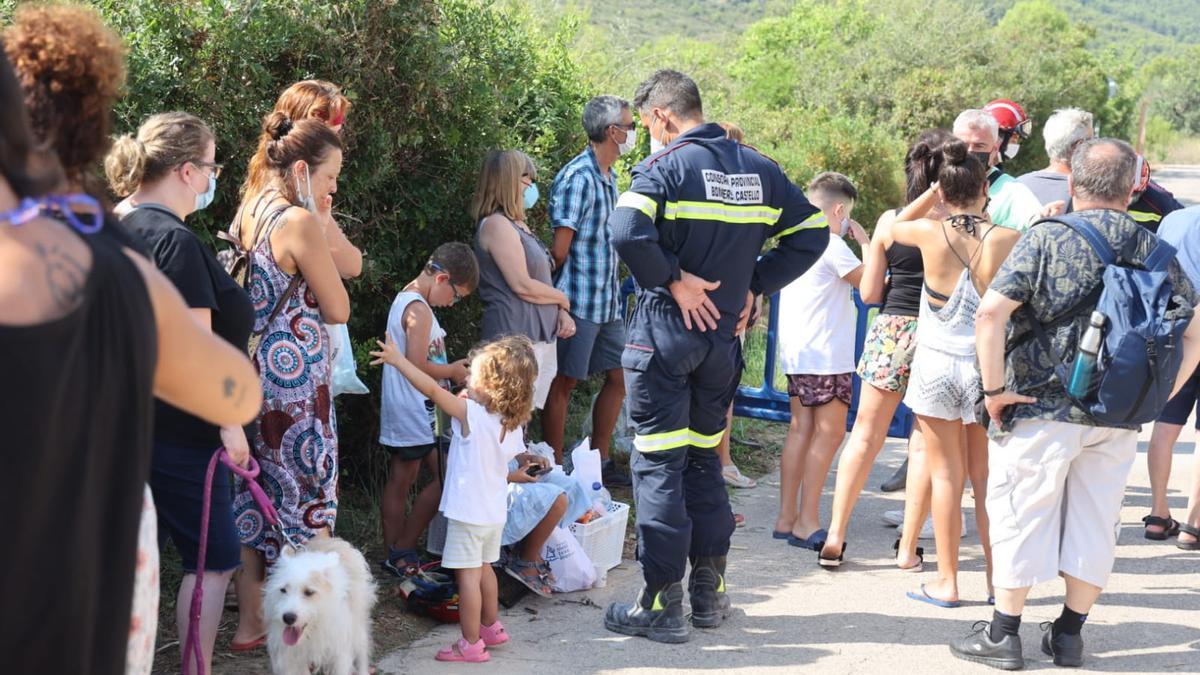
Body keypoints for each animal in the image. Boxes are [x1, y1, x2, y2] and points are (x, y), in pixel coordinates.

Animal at [265, 535, 376, 672]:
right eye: (283, 590)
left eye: (309, 592)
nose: (288, 618)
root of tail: (334, 540)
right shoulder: (292, 659)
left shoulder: (339, 654)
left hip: (358, 624)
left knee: (362, 651)